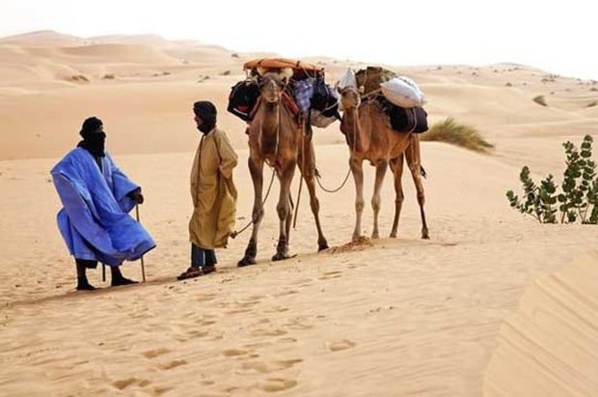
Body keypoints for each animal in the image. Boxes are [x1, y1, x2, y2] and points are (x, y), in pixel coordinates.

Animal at [238, 73, 330, 266]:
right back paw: (287, 243)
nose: (273, 93)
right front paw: (249, 254)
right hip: (277, 166)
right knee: (290, 204)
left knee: (313, 199)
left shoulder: (289, 160)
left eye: (281, 84)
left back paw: (322, 243)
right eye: (262, 83)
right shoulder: (254, 160)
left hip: (305, 150)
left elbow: (281, 208)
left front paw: (280, 250)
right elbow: (258, 210)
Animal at [338, 86, 432, 241]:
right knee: (399, 193)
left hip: (413, 140)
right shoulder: (355, 161)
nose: (356, 99)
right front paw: (355, 236)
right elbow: (359, 202)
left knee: (417, 181)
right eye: (344, 93)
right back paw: (393, 233)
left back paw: (425, 232)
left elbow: (376, 201)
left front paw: (375, 234)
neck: (367, 134)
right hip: (395, 158)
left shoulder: (382, 161)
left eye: (357, 92)